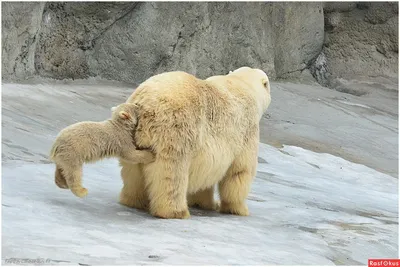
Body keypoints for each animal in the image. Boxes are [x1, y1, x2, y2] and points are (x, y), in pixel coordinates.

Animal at [119, 67, 272, 220]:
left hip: (134, 137)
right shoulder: (248, 129)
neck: (241, 83)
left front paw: (206, 203)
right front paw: (239, 209)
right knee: (172, 173)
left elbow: (205, 176)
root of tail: (145, 103)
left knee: (133, 172)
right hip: (175, 131)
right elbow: (240, 171)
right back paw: (176, 212)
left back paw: (134, 200)